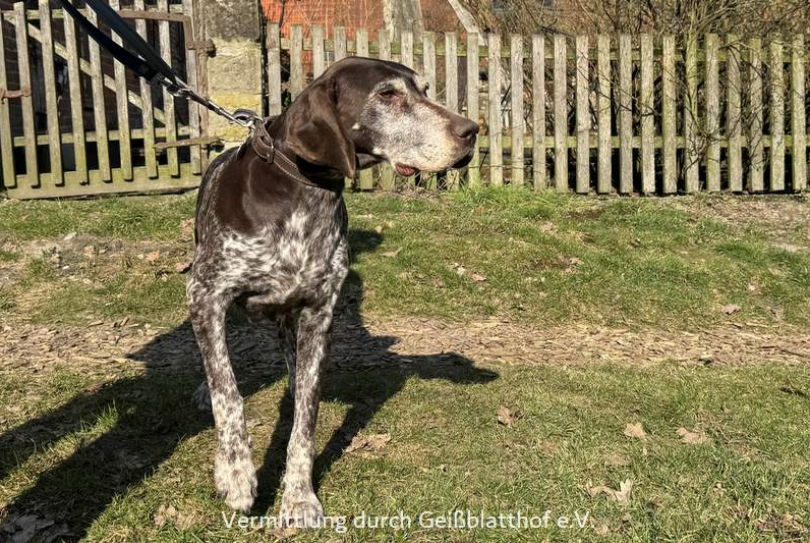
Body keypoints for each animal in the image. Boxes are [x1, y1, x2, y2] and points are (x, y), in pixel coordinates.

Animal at [187, 56, 478, 525]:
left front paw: (299, 497)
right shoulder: (206, 295)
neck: (303, 194)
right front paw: (235, 473)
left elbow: (305, 424)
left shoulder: (319, 314)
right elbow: (227, 391)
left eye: (424, 90)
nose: (472, 130)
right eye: (387, 95)